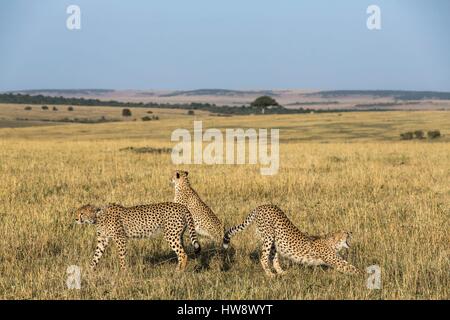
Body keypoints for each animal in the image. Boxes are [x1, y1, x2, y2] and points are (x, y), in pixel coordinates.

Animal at [223, 205, 360, 278]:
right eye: (345, 233)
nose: (351, 232)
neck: (332, 243)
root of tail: (262, 206)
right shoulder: (336, 261)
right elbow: (352, 269)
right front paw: (363, 276)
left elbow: (351, 266)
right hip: (268, 236)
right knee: (263, 257)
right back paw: (270, 274)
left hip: (275, 241)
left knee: (273, 258)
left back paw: (281, 272)